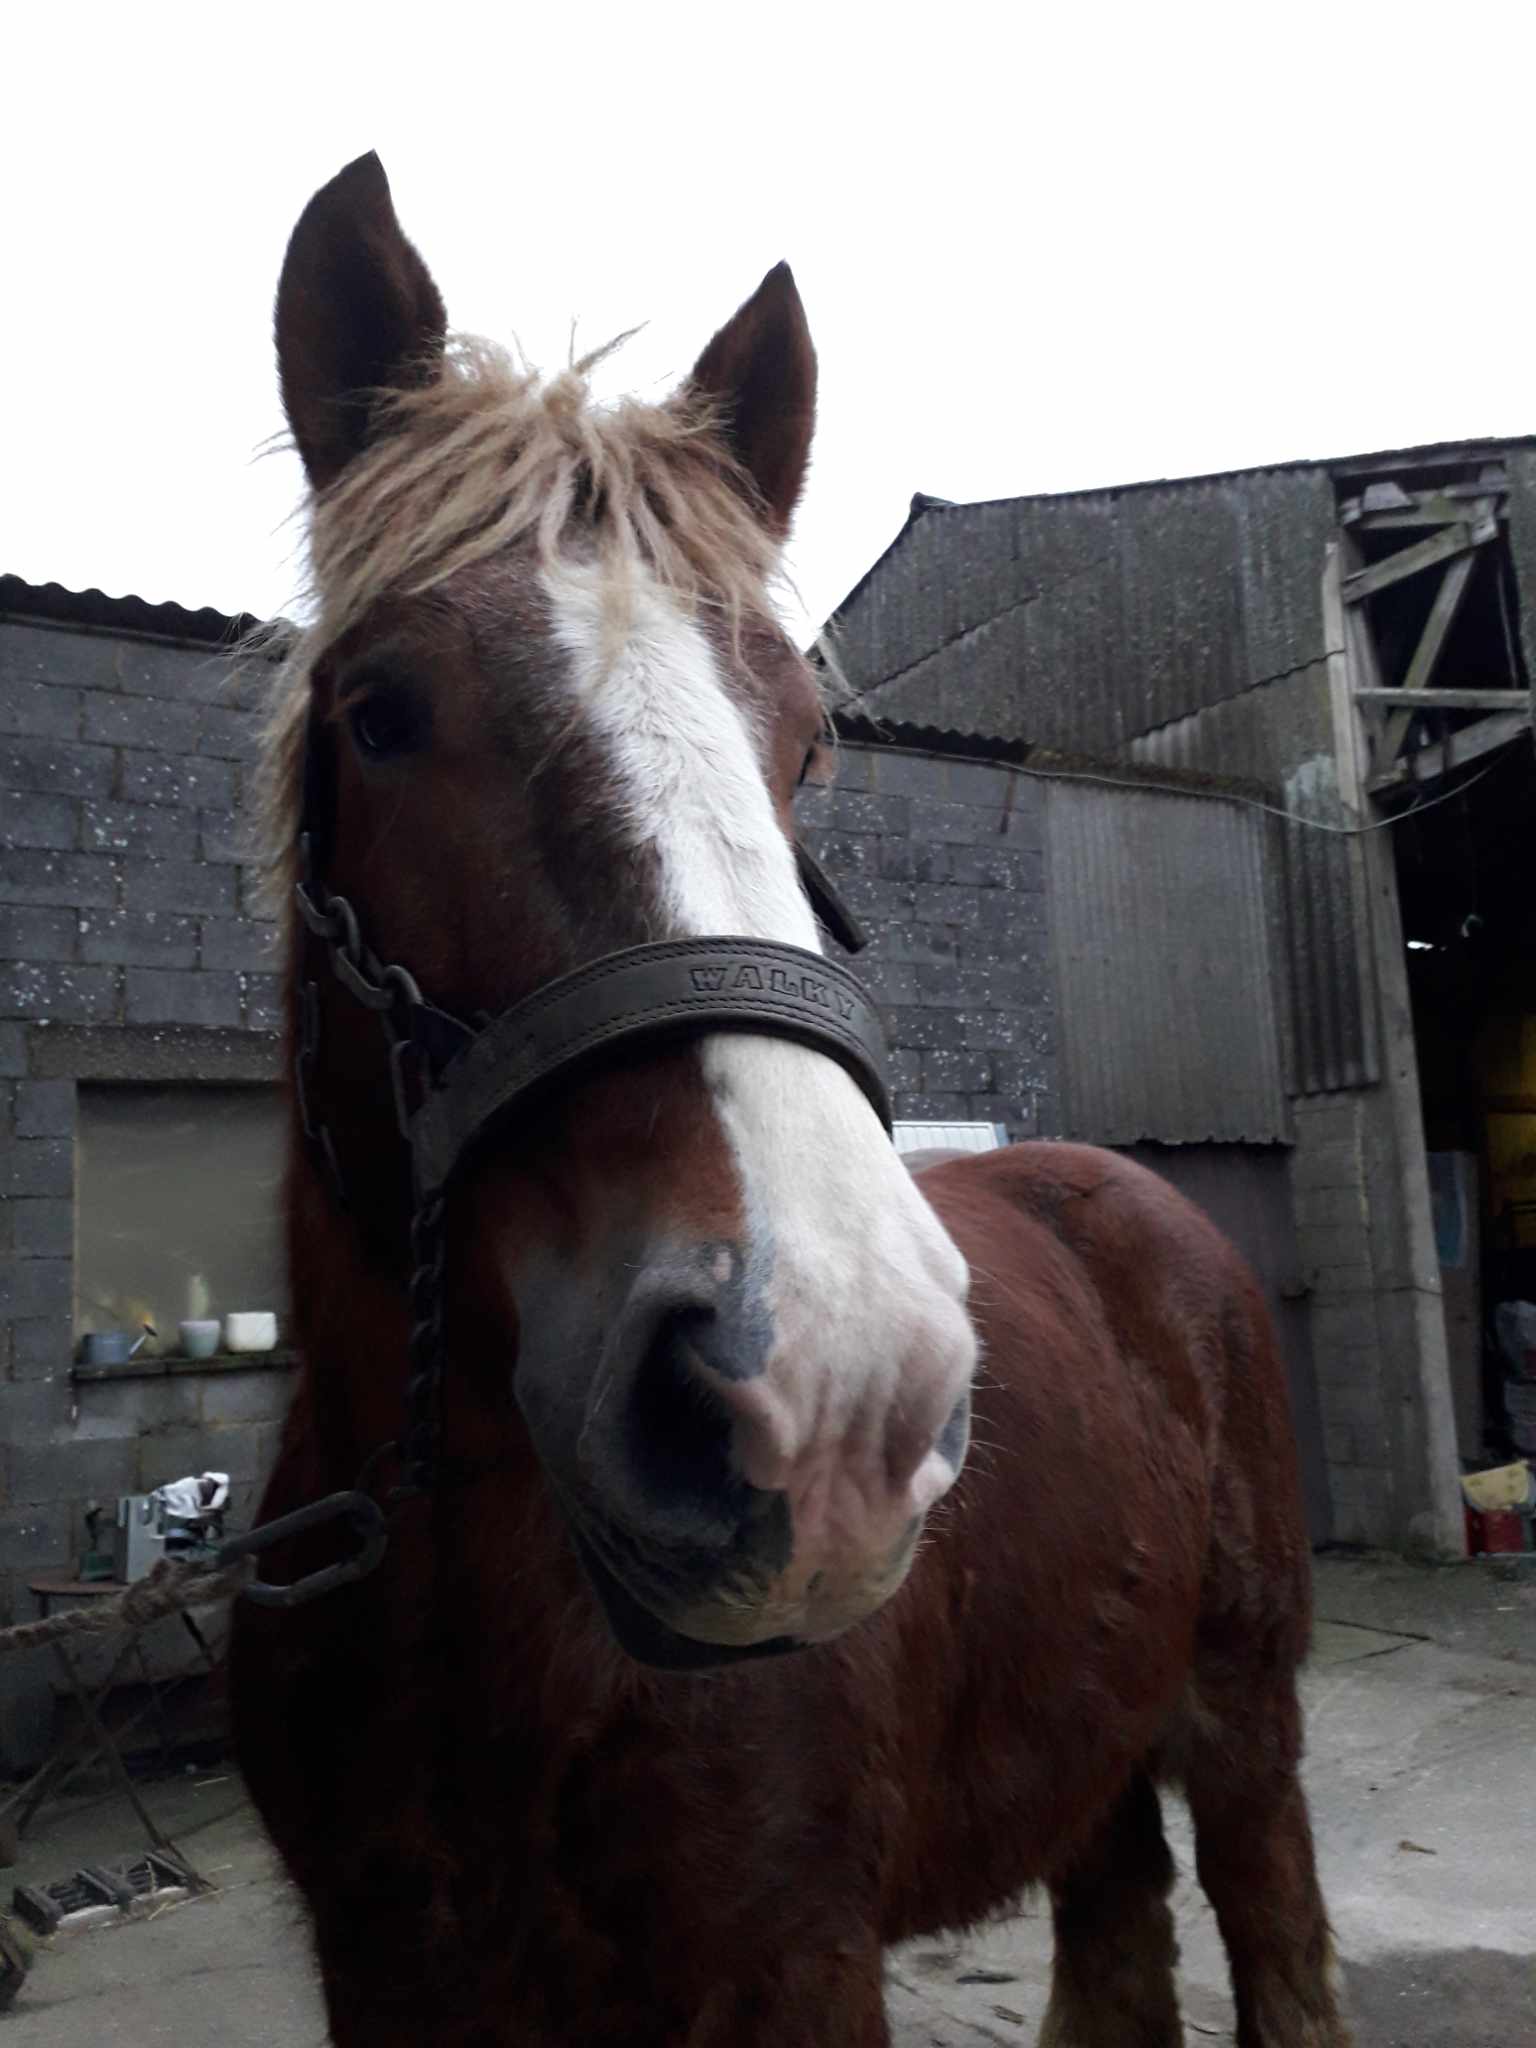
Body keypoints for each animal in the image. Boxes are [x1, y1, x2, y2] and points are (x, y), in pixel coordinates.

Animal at [230, 152, 1352, 2048]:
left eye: (807, 746)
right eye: (379, 714)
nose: (834, 1391)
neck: (471, 1619)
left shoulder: (786, 1956)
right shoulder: (384, 1969)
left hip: (1245, 1721)